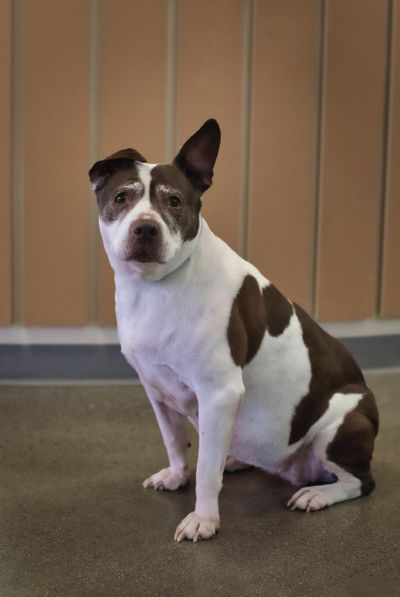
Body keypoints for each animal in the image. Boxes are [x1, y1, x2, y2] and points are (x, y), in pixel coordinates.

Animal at [89, 120, 380, 540]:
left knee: (360, 481)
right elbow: (175, 442)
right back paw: (237, 459)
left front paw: (204, 519)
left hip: (342, 422)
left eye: (173, 201)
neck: (157, 287)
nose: (145, 228)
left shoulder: (219, 394)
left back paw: (317, 494)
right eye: (121, 197)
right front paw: (177, 476)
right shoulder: (156, 391)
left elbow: (206, 473)